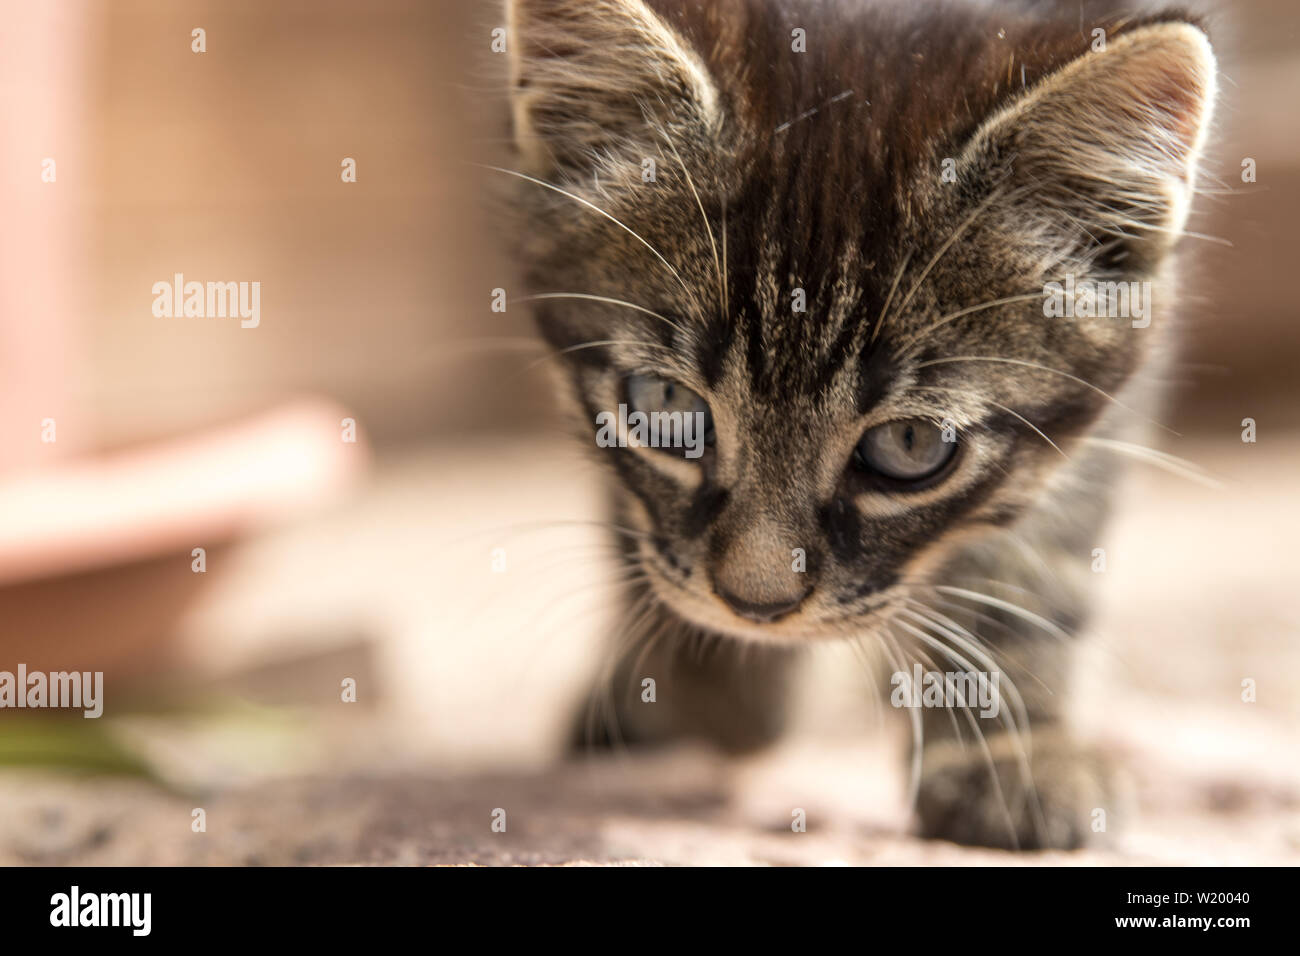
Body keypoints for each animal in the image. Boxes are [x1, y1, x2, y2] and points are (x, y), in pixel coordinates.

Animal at [501, 0, 1211, 853]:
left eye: (910, 446)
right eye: (669, 404)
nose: (757, 606)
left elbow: (1039, 544)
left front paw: (1012, 742)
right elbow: (634, 521)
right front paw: (706, 680)